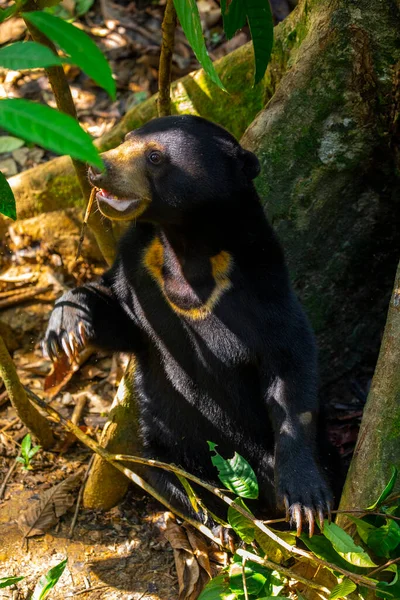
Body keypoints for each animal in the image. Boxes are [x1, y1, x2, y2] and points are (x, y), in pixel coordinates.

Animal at [43, 116, 332, 536]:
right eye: (126, 139)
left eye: (154, 156)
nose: (97, 169)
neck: (186, 246)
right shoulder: (138, 273)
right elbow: (119, 316)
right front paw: (65, 329)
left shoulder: (264, 284)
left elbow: (291, 361)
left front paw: (307, 502)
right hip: (170, 445)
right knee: (166, 474)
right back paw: (218, 521)